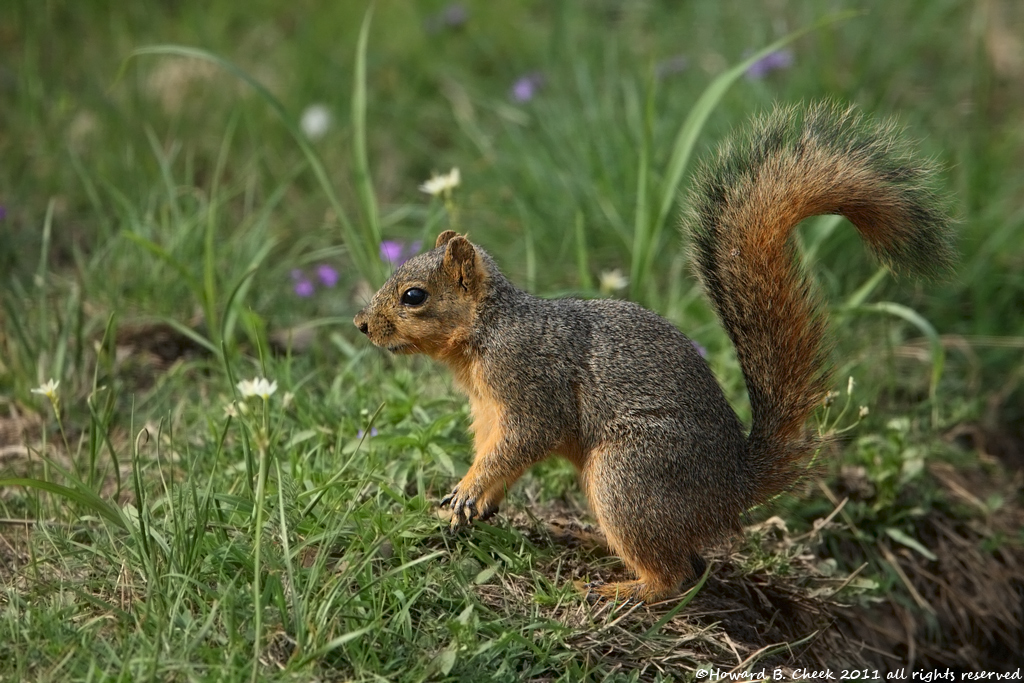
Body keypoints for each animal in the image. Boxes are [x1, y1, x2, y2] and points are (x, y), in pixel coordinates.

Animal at [353, 102, 954, 603]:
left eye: (414, 297)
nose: (361, 324)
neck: (487, 331)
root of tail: (732, 487)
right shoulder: (485, 409)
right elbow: (492, 451)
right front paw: (472, 500)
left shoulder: (530, 385)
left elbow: (522, 440)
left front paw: (468, 491)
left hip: (629, 478)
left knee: (675, 576)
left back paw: (617, 589)